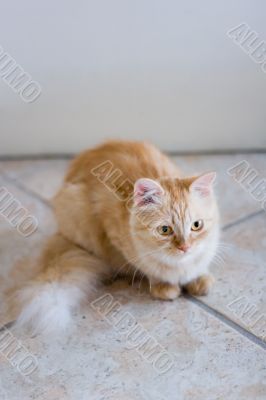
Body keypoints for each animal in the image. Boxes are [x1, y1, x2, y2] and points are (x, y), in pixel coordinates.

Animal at [9, 141, 219, 334]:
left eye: (196, 225)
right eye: (165, 230)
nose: (185, 247)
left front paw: (199, 279)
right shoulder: (116, 236)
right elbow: (151, 270)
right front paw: (165, 285)